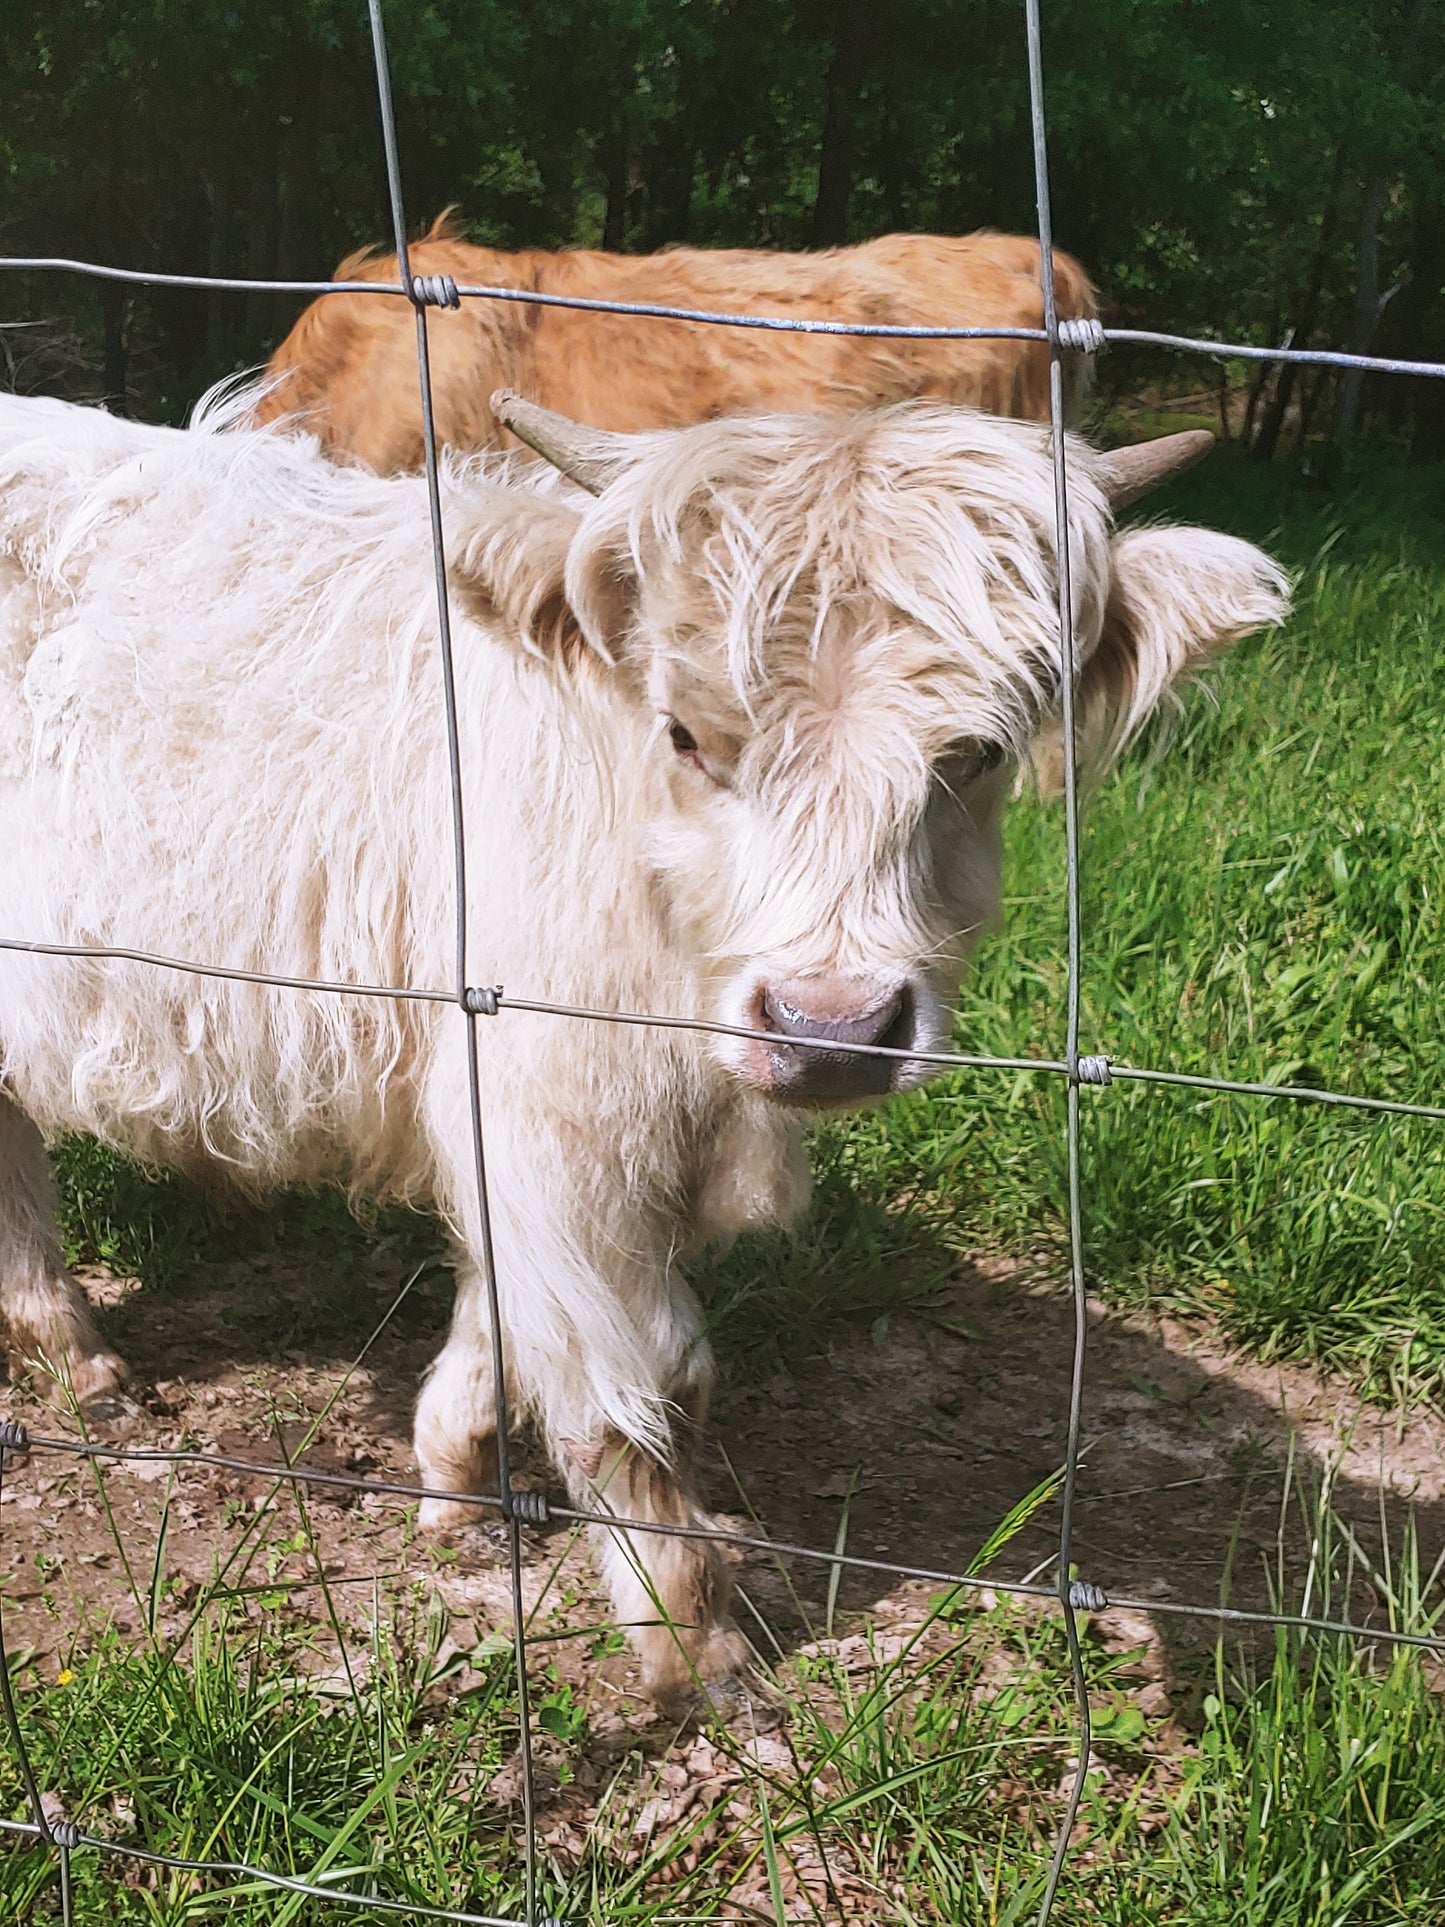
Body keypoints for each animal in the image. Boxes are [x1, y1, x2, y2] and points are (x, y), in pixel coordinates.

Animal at [0, 387, 1287, 1709]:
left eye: (974, 753)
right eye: (685, 734)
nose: (829, 1028)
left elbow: (509, 1319)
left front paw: (455, 1480)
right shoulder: (563, 1120)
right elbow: (643, 1388)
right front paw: (690, 1638)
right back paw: (75, 1349)